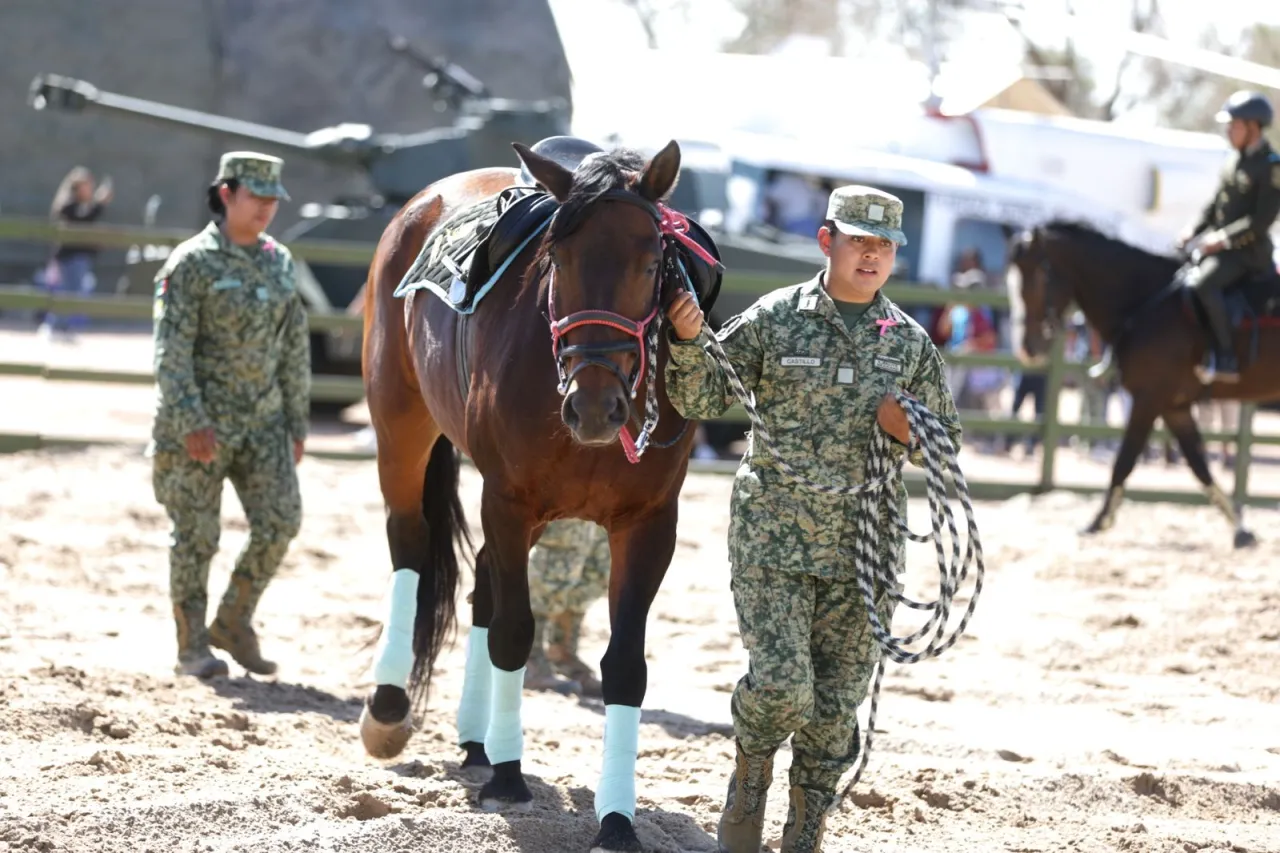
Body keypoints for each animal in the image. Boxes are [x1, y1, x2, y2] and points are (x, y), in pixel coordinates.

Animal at [358, 136, 721, 845]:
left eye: (650, 264)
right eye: (559, 260)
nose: (595, 406)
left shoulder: (647, 524)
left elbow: (624, 665)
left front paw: (616, 820)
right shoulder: (509, 500)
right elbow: (513, 631)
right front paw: (509, 776)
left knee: (478, 581)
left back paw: (475, 740)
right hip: (400, 424)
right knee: (410, 544)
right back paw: (390, 709)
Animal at [1003, 219, 1280, 548]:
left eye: (1037, 278)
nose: (1027, 349)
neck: (1144, 302)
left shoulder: (1148, 399)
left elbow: (1125, 459)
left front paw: (1099, 521)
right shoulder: (1175, 407)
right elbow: (1199, 466)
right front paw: (1240, 528)